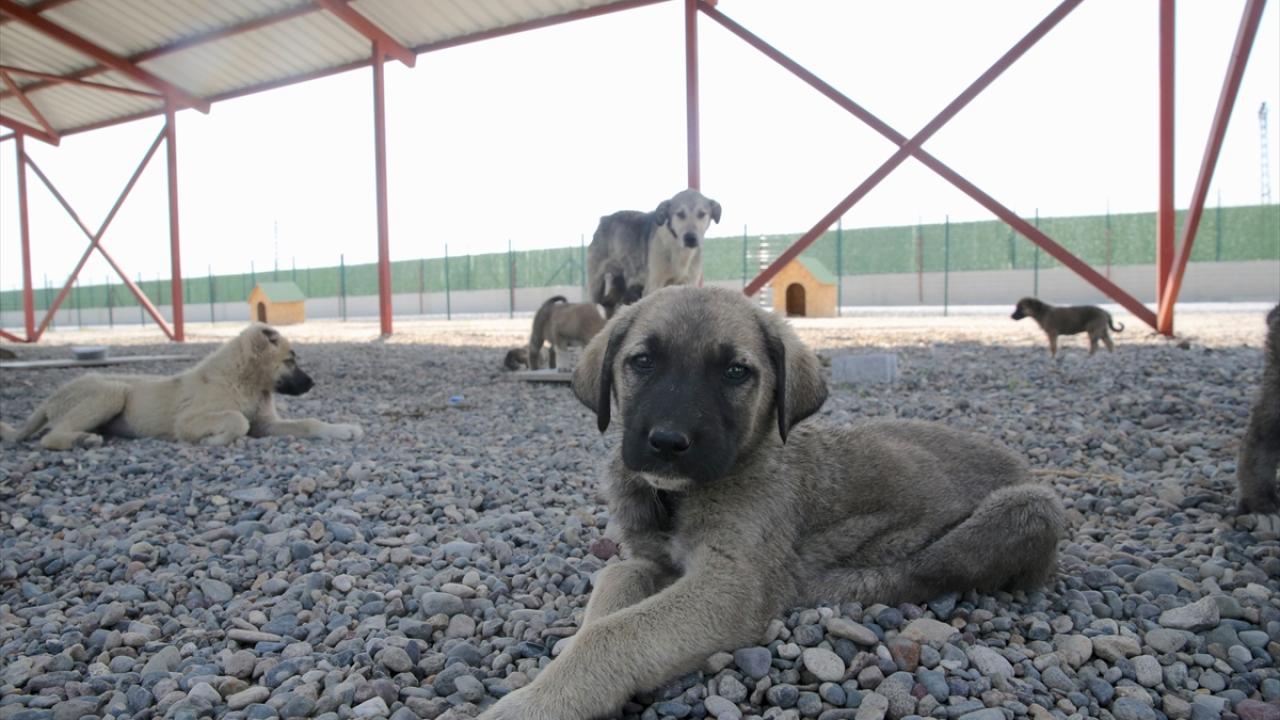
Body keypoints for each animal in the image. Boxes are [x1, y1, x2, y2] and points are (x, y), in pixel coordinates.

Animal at [0, 324, 363, 450]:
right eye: (290, 360)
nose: (312, 383)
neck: (245, 382)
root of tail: (51, 397)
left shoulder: (267, 424)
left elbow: (308, 422)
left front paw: (342, 429)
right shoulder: (187, 421)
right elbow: (237, 420)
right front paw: (215, 440)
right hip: (111, 391)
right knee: (49, 437)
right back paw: (82, 440)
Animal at [479, 286, 1065, 720]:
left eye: (736, 372)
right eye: (641, 362)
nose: (667, 442)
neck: (676, 499)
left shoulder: (731, 584)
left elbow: (614, 633)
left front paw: (537, 702)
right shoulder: (647, 560)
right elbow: (612, 588)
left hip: (1029, 506)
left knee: (926, 570)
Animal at [587, 189, 721, 318]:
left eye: (702, 214)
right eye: (680, 214)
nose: (690, 238)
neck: (679, 252)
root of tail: (604, 219)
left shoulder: (689, 283)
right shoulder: (653, 285)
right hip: (596, 286)